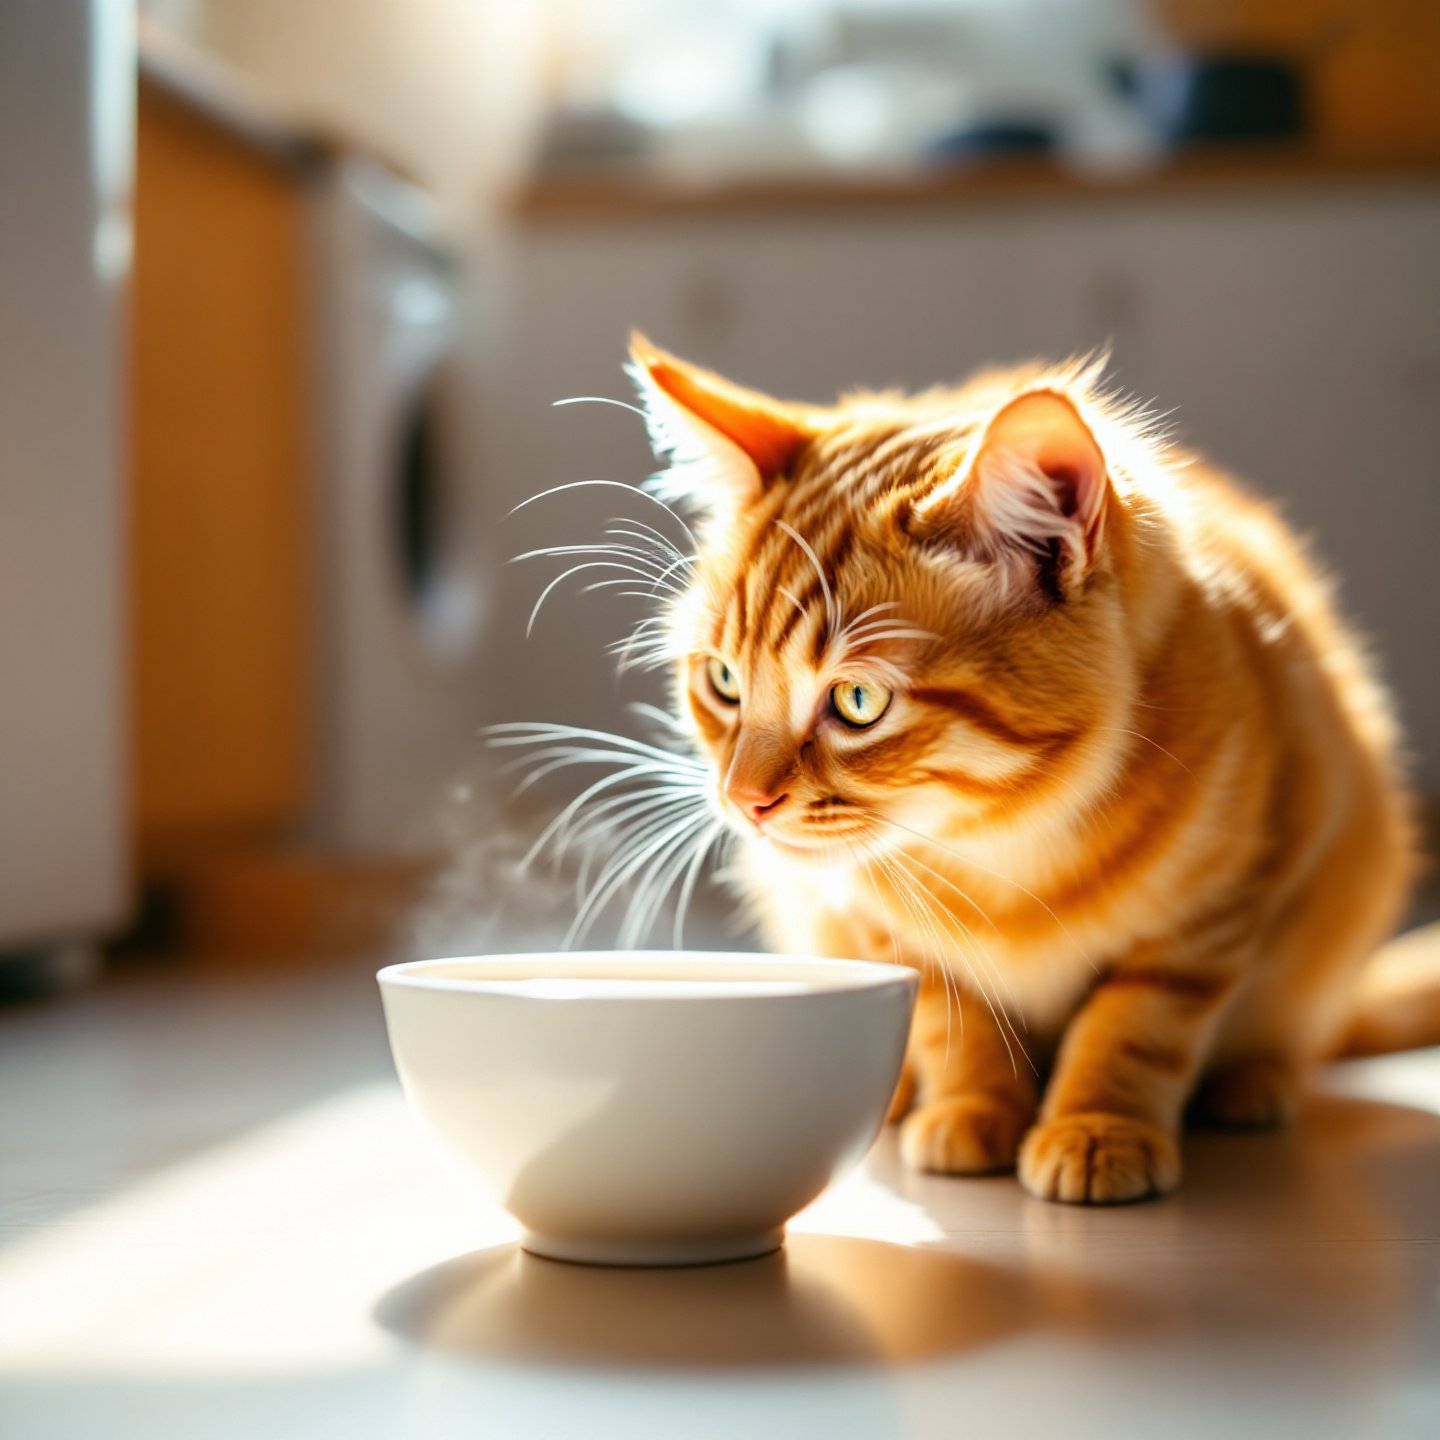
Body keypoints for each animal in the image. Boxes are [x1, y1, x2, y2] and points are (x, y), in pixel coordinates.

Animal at [601, 336, 1422, 1203]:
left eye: (857, 701)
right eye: (724, 681)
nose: (742, 800)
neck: (1002, 842)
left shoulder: (1217, 906)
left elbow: (1136, 1023)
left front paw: (1098, 1126)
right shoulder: (879, 925)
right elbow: (952, 1018)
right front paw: (973, 1108)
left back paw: (1253, 1083)